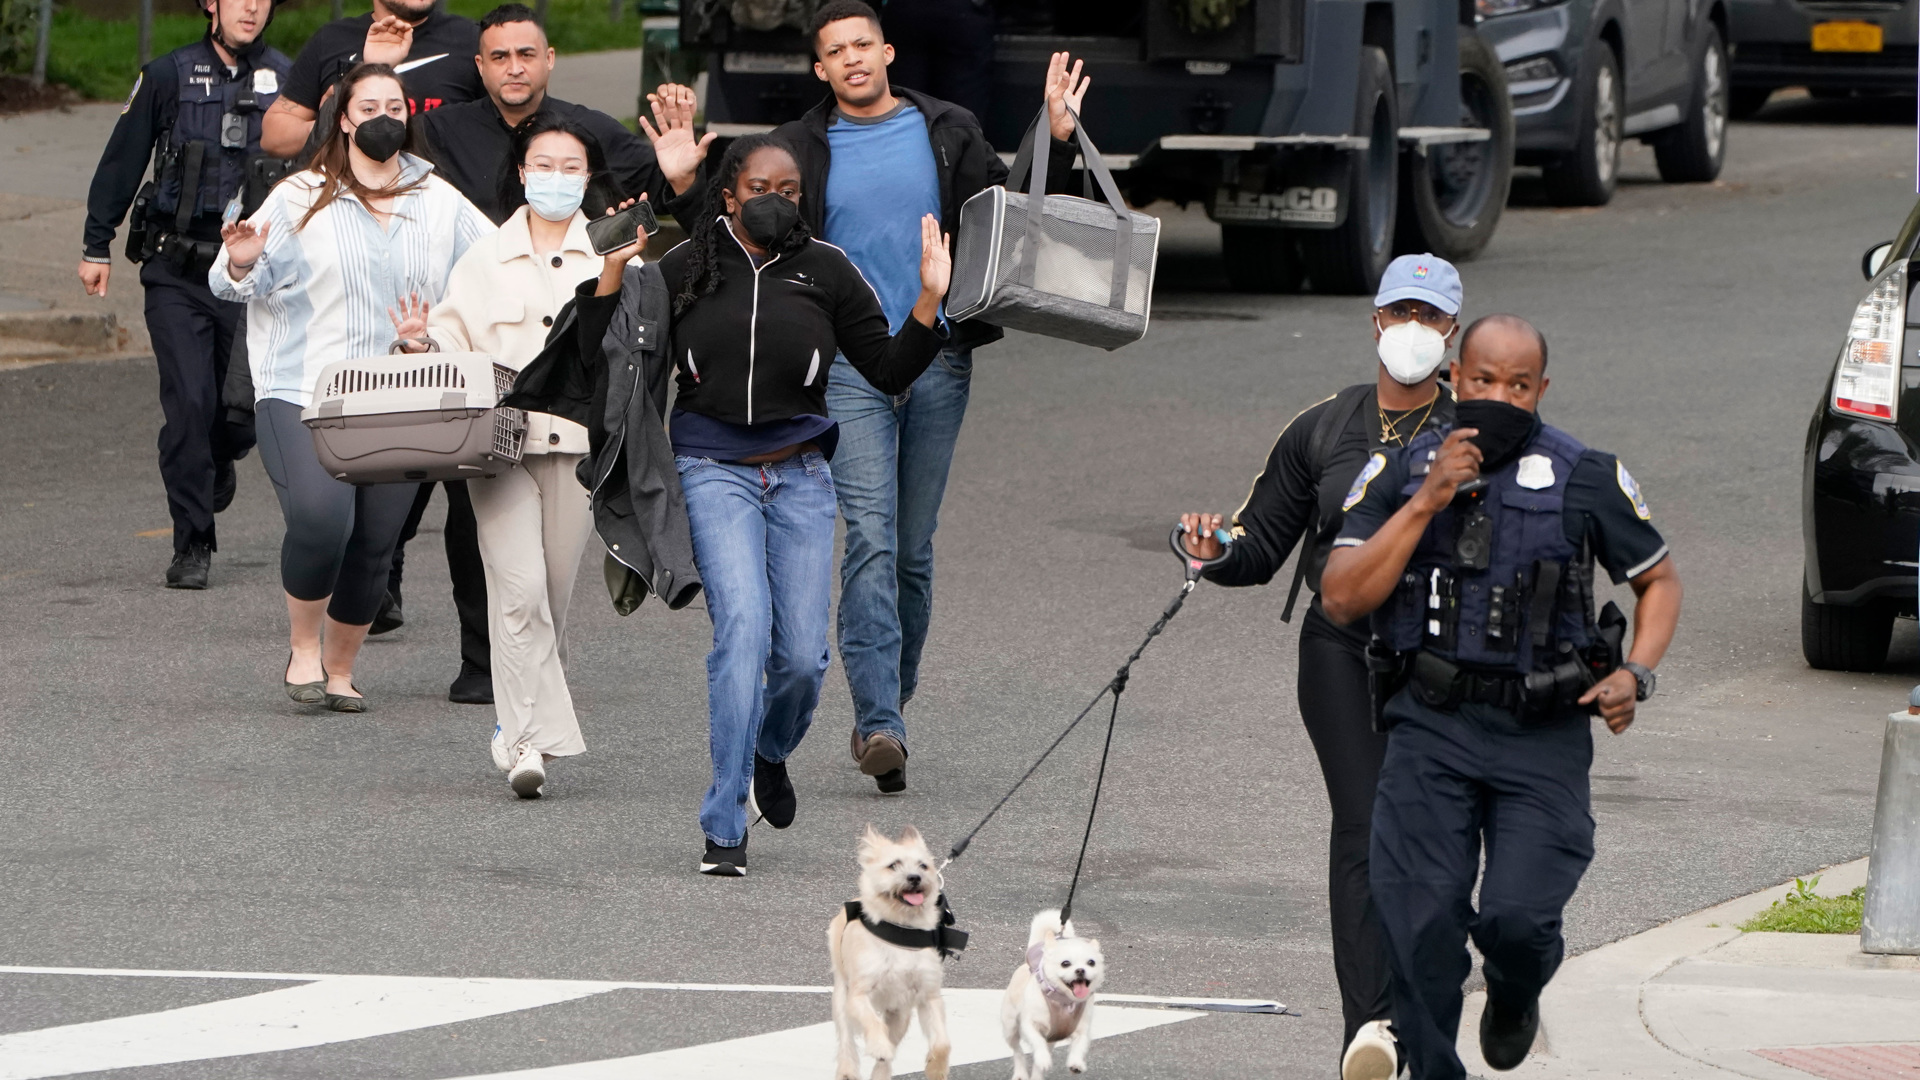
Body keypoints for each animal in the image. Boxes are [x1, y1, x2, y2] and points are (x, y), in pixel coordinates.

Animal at [825, 822, 952, 1076]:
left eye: (923, 866)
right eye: (893, 865)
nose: (915, 877)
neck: (901, 928)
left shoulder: (928, 995)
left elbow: (942, 1042)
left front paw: (936, 1067)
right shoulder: (858, 995)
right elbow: (872, 1023)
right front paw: (879, 1046)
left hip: (900, 1014)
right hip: (842, 1000)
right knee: (846, 1041)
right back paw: (848, 1071)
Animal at [998, 903, 1105, 1068]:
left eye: (1091, 962)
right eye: (1065, 963)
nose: (1080, 970)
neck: (1064, 1002)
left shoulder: (1081, 1030)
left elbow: (1079, 1045)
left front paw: (1076, 1063)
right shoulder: (1029, 1025)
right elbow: (1037, 1041)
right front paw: (1042, 1058)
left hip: (1051, 1039)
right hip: (1010, 1028)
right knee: (1017, 1051)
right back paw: (1021, 1070)